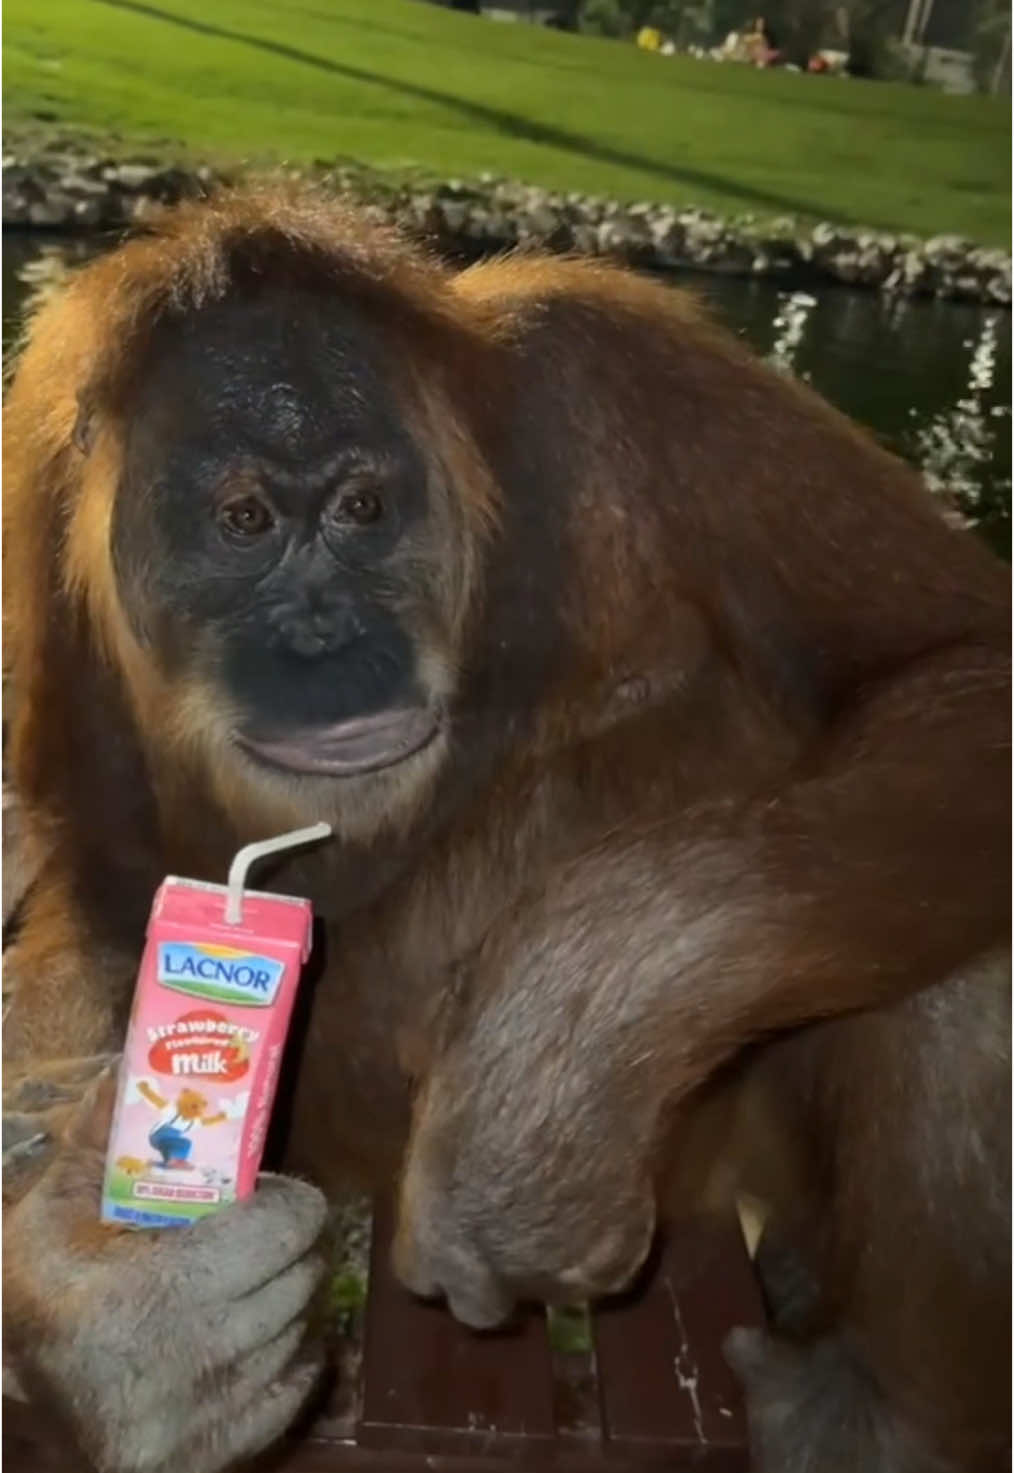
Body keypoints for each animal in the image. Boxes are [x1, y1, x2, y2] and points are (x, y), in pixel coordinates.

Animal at [2, 185, 1009, 1473]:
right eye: (243, 521)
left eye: (363, 510)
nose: (325, 635)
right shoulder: (38, 516)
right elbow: (97, 899)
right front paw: (123, 1330)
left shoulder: (622, 368)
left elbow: (954, 661)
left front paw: (544, 1086)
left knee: (953, 918)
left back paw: (876, 1418)